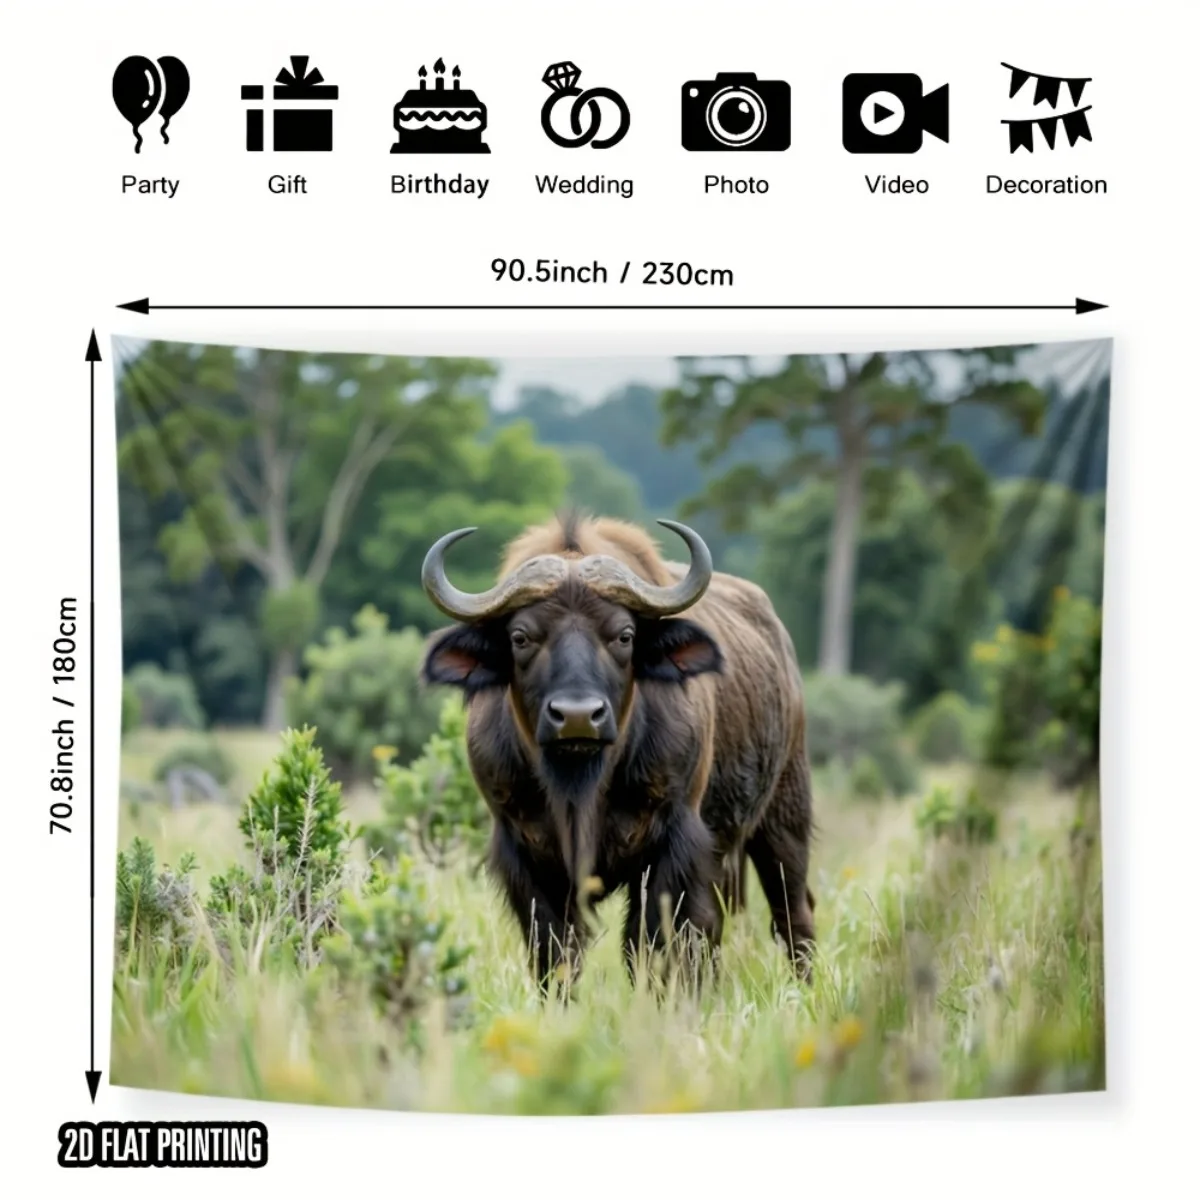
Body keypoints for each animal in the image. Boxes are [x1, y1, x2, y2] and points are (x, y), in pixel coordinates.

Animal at [421, 513, 815, 986]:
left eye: (624, 636)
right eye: (520, 637)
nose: (577, 715)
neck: (580, 788)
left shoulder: (671, 849)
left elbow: (651, 945)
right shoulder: (524, 855)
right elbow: (554, 952)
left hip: (784, 816)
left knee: (791, 911)